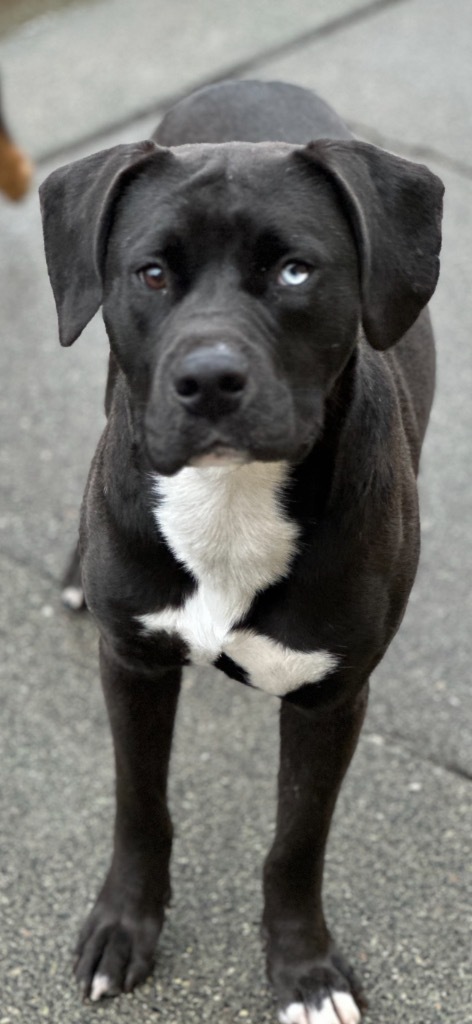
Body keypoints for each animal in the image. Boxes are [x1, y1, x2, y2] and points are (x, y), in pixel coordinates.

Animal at [39, 81, 442, 1024]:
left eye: (294, 271)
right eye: (151, 273)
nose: (209, 380)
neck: (230, 499)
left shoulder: (331, 699)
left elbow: (296, 842)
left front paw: (305, 970)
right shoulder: (133, 666)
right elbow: (139, 804)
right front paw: (124, 924)